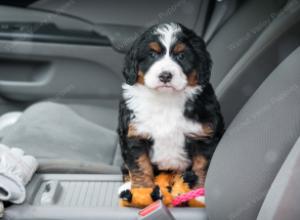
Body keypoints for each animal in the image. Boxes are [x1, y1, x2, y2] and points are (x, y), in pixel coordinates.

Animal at [118, 22, 224, 203]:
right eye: (152, 54)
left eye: (181, 56)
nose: (165, 75)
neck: (166, 100)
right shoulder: (134, 134)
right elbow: (140, 166)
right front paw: (142, 193)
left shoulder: (204, 136)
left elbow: (202, 166)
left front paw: (198, 193)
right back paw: (126, 187)